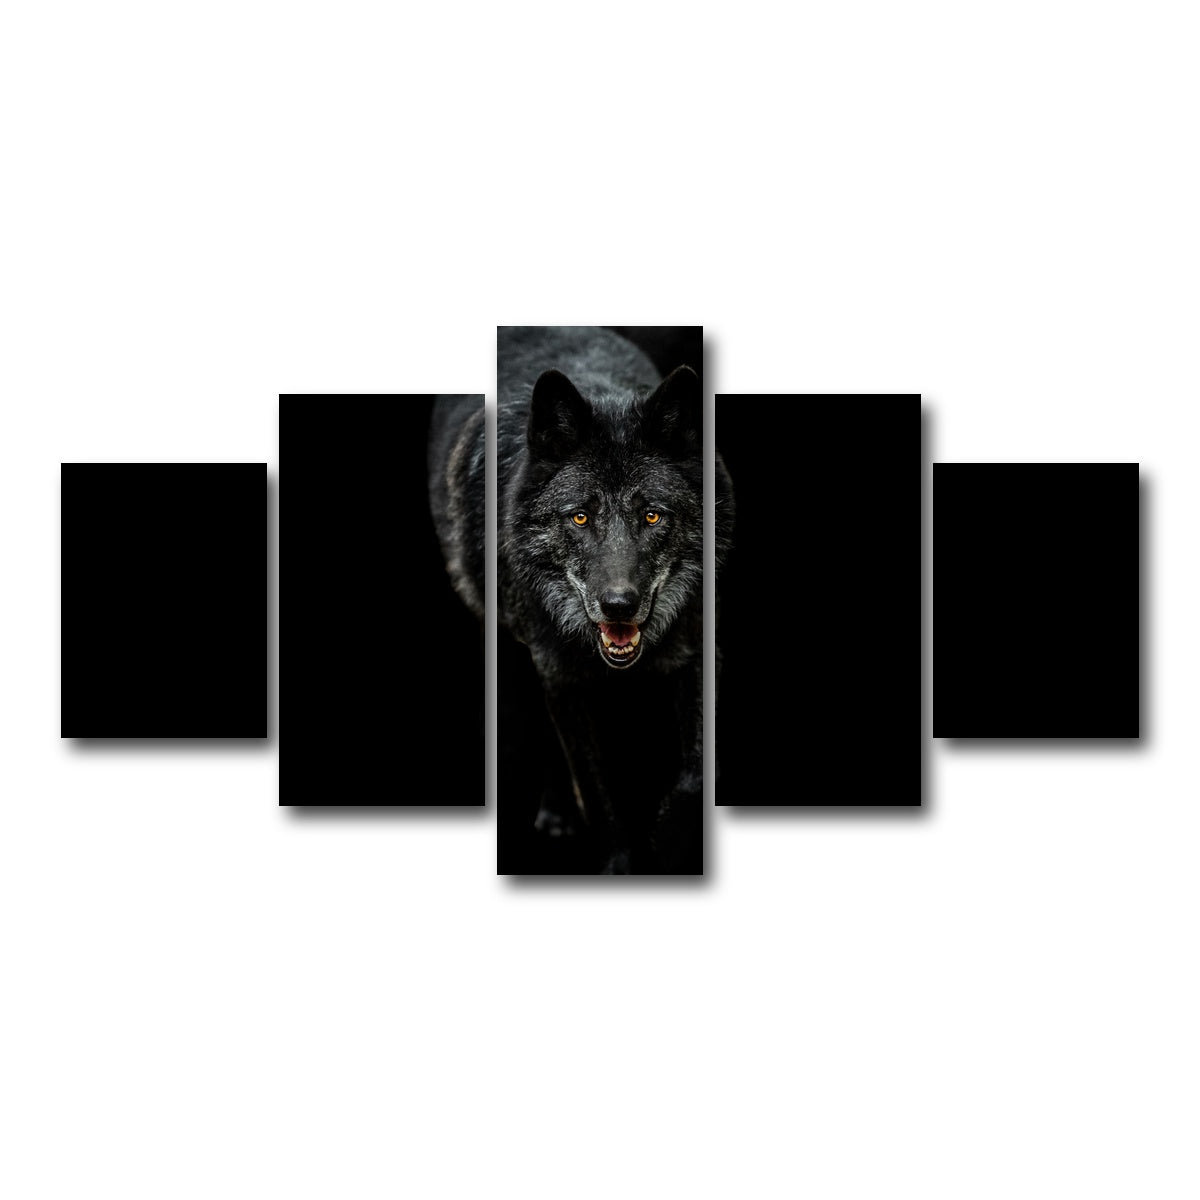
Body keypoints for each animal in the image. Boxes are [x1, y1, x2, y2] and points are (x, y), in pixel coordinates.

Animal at [430, 327, 733, 873]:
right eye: (580, 517)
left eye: (652, 515)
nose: (619, 605)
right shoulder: (559, 675)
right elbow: (594, 790)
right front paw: (620, 863)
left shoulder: (701, 650)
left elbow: (700, 773)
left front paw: (670, 834)